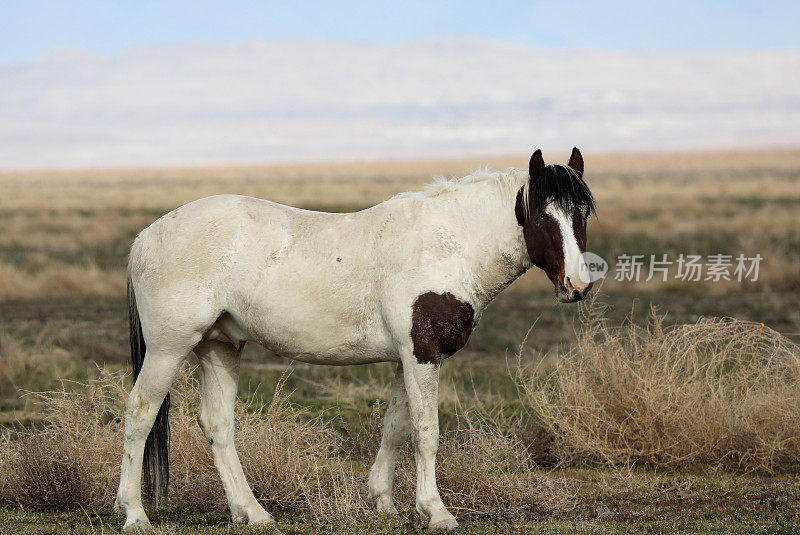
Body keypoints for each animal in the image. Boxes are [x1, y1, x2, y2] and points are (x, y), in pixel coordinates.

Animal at [115, 148, 596, 532]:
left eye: (582, 214)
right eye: (543, 215)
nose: (578, 285)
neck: (448, 245)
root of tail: (145, 237)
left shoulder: (409, 359)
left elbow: (396, 428)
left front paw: (384, 502)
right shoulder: (422, 356)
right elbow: (426, 432)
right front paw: (436, 512)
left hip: (219, 347)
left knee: (217, 425)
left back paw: (252, 512)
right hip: (169, 349)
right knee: (140, 414)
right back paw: (135, 514)